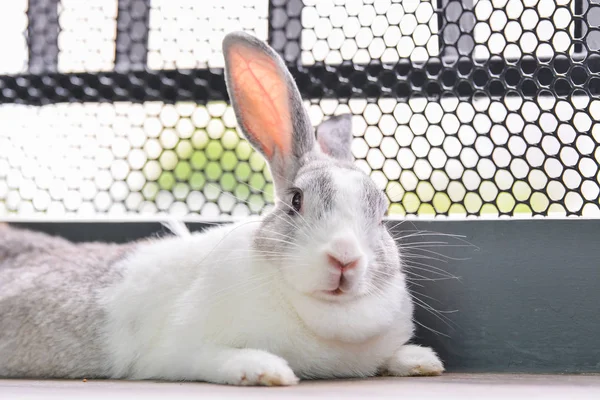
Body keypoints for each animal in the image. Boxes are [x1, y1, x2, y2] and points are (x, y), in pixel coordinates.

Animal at [0, 31, 442, 384]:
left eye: (381, 213)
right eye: (296, 201)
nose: (345, 258)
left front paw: (421, 361)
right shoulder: (181, 350)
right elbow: (215, 358)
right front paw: (268, 371)